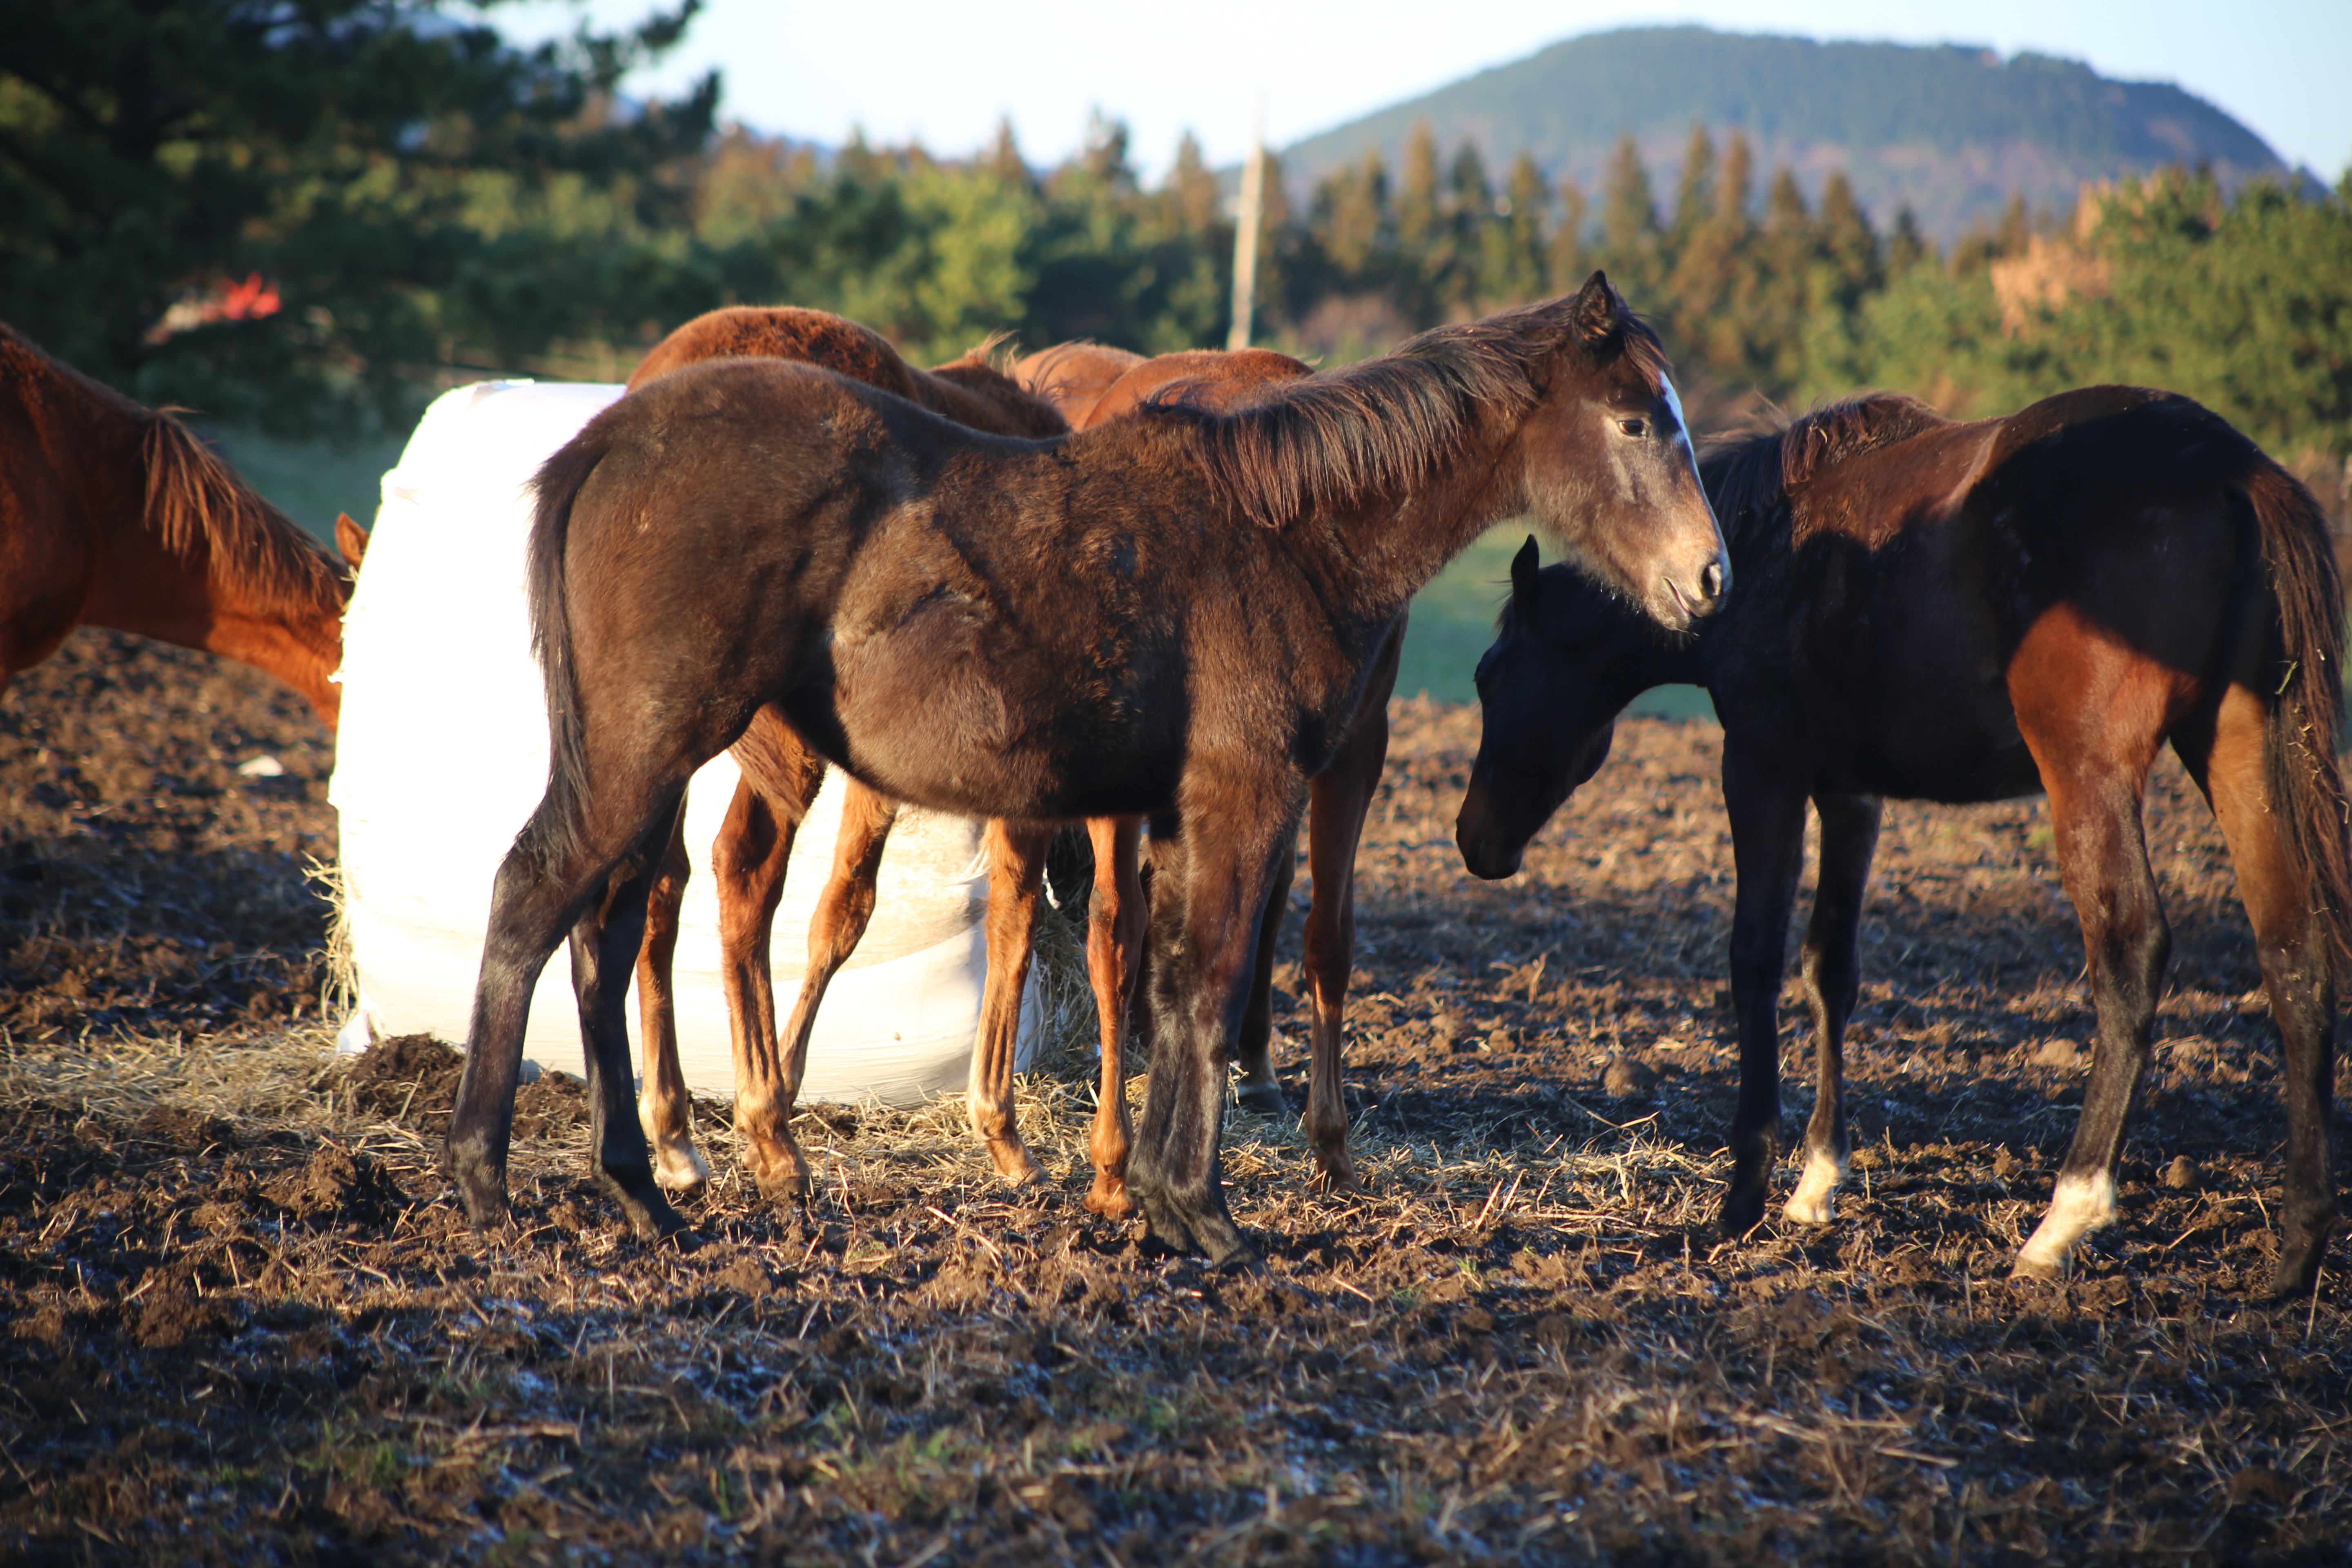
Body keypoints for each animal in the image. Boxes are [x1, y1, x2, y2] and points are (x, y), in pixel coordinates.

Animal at [449, 276, 1731, 1269]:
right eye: (1634, 422)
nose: (1711, 578)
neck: (1282, 533)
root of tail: (607, 437)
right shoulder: (1242, 795)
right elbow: (1207, 983)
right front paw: (1201, 1213)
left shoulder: (1169, 813)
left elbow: (1162, 986)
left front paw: (1153, 1199)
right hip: (650, 751)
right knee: (539, 897)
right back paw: (488, 1178)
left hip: (651, 764)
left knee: (611, 929)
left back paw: (644, 1186)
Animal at [1458, 385, 2342, 1297]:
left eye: (1490, 676)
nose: (1474, 839)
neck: (1764, 553)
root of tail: (2234, 472)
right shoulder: (1850, 793)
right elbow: (1829, 971)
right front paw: (1816, 1184)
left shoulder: (1762, 770)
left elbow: (1755, 961)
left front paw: (1744, 1196)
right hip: (2237, 747)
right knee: (2294, 954)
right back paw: (2296, 1250)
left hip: (2089, 775)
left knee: (2131, 954)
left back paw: (2065, 1218)